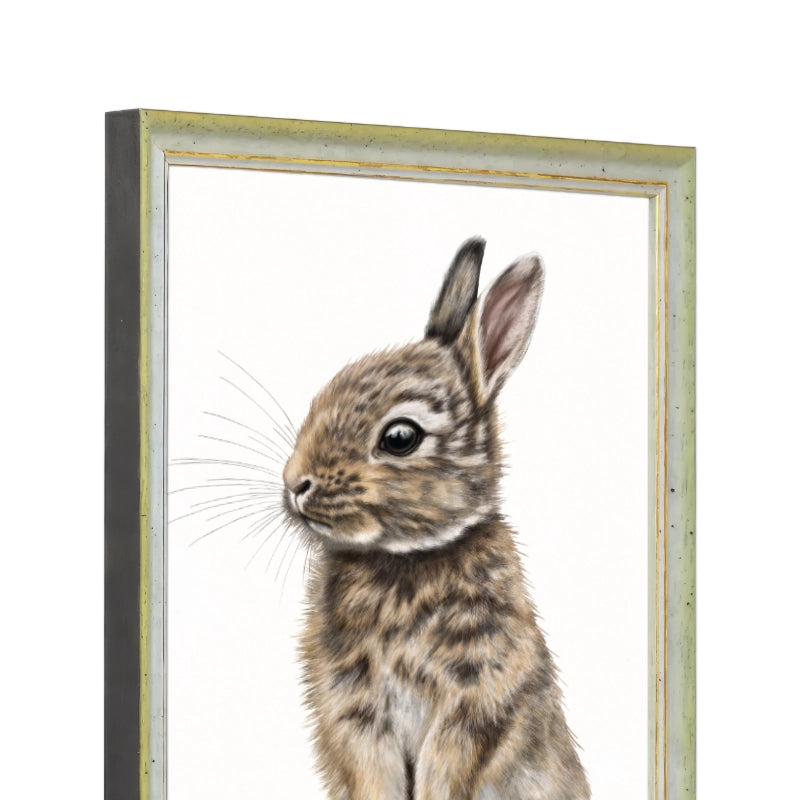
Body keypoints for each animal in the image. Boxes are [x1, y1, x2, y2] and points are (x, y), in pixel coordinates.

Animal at [282, 237, 590, 800]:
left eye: (400, 437)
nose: (296, 484)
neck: (406, 561)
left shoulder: (474, 703)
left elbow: (445, 773)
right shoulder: (355, 711)